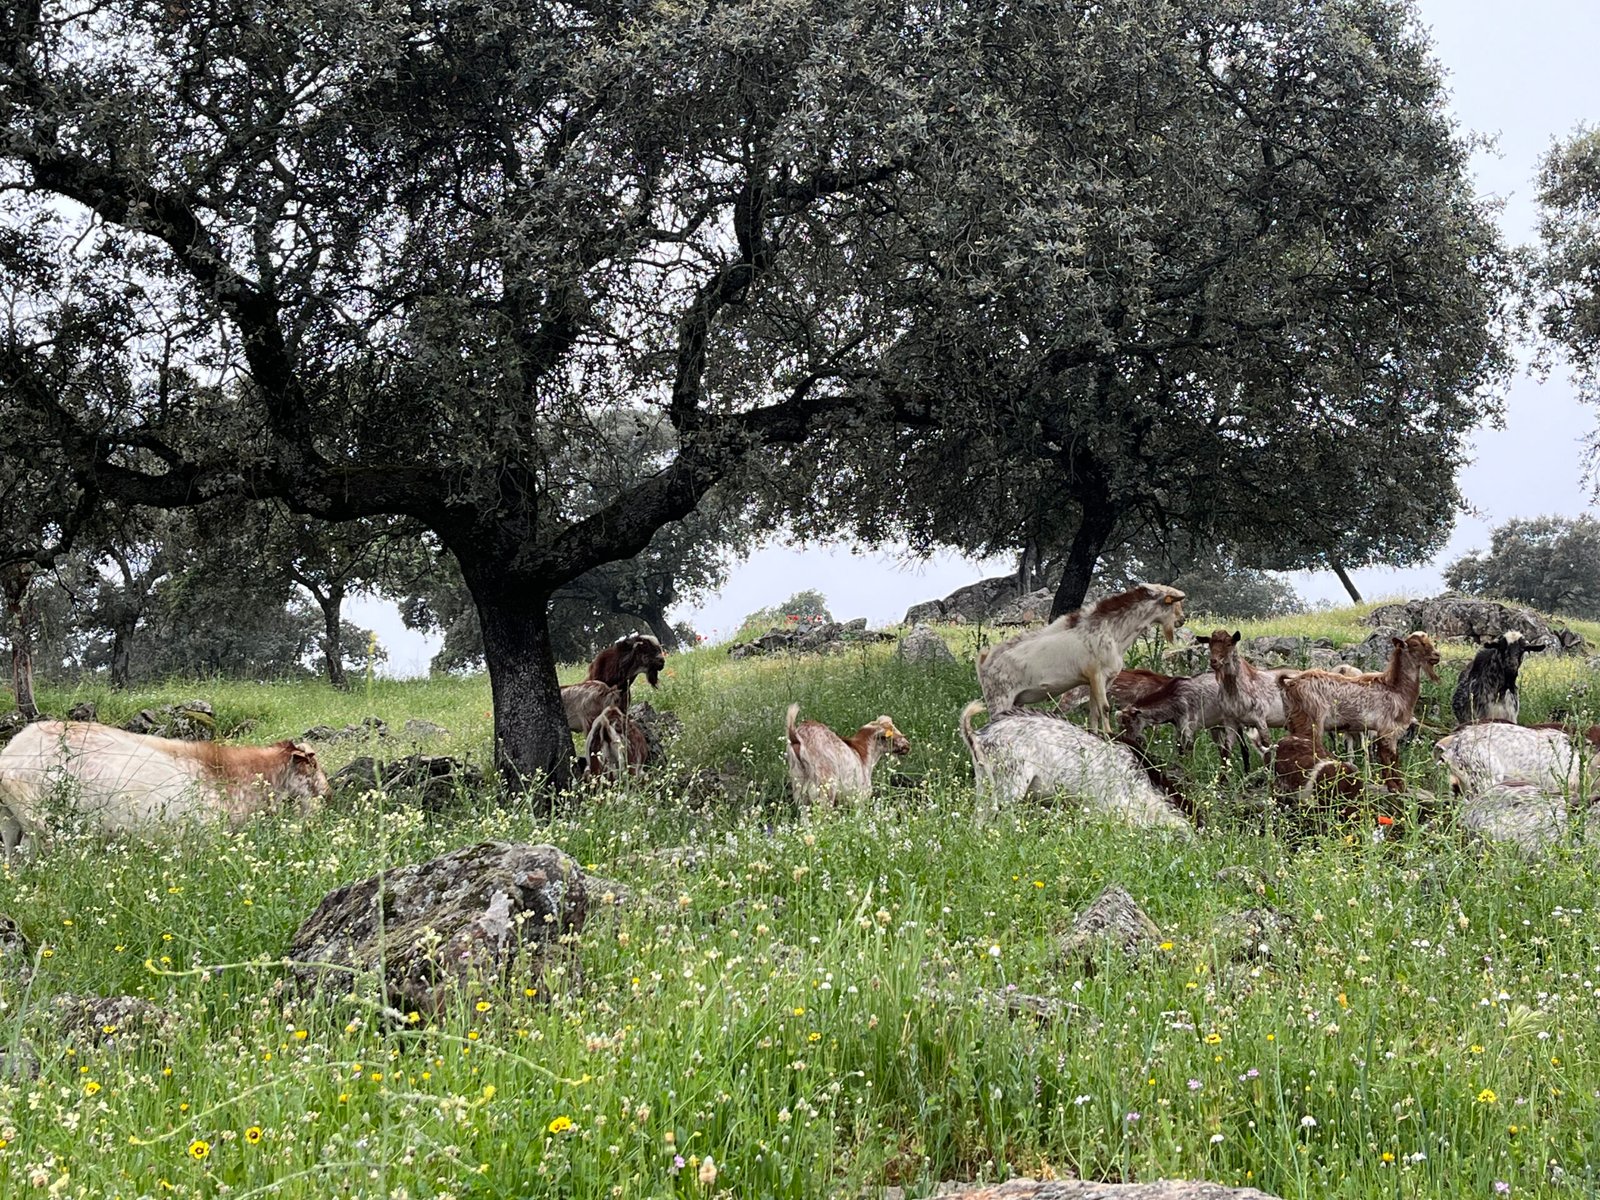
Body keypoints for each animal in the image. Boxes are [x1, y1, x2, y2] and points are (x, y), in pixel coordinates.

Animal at [976, 583, 1186, 735]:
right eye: (1173, 603)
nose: (1182, 620)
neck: (1112, 631)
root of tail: (985, 661)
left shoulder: (1099, 681)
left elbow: (1095, 711)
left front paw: (1097, 734)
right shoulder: (1097, 674)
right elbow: (1105, 708)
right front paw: (1110, 735)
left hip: (1015, 701)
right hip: (999, 698)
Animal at [1278, 634, 1440, 791]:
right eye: (1415, 644)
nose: (1437, 655)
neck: (1395, 688)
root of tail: (1290, 684)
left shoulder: (1392, 730)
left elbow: (1395, 756)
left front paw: (1400, 785)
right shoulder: (1385, 727)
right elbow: (1386, 756)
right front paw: (1392, 785)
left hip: (1295, 720)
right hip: (1309, 720)